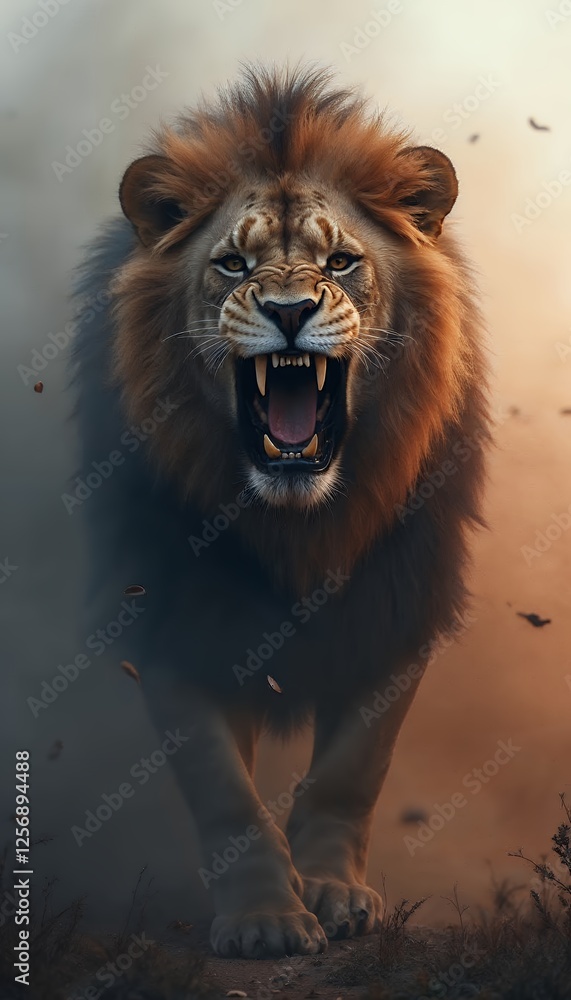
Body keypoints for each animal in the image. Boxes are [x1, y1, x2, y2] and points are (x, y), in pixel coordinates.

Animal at [71, 65, 490, 959]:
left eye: (341, 260)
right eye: (232, 264)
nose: (291, 311)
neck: (298, 523)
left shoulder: (397, 608)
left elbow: (351, 771)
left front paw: (332, 893)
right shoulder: (174, 616)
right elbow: (224, 793)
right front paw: (264, 918)